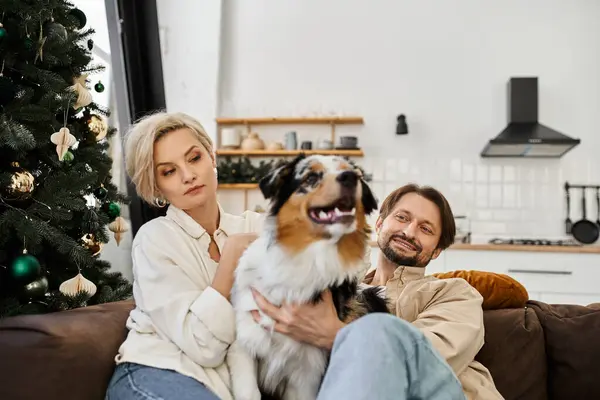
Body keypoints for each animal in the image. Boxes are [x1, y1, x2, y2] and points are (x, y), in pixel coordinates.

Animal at [225, 154, 390, 400]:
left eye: (354, 174)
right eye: (311, 177)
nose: (350, 177)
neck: (308, 258)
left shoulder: (307, 371)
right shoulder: (245, 343)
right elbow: (249, 392)